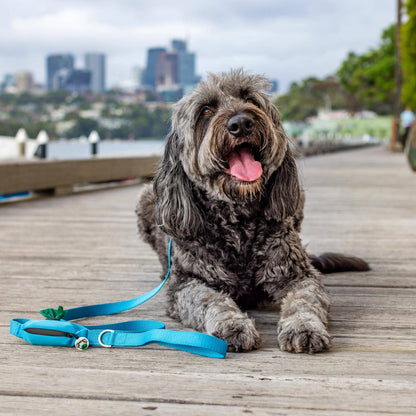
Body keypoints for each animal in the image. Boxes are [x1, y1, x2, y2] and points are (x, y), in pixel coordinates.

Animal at [136, 69, 368, 354]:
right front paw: (231, 324)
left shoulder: (297, 274)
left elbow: (304, 300)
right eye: (206, 110)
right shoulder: (186, 283)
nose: (241, 123)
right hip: (146, 199)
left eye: (250, 99)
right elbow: (210, 299)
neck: (237, 224)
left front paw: (304, 327)